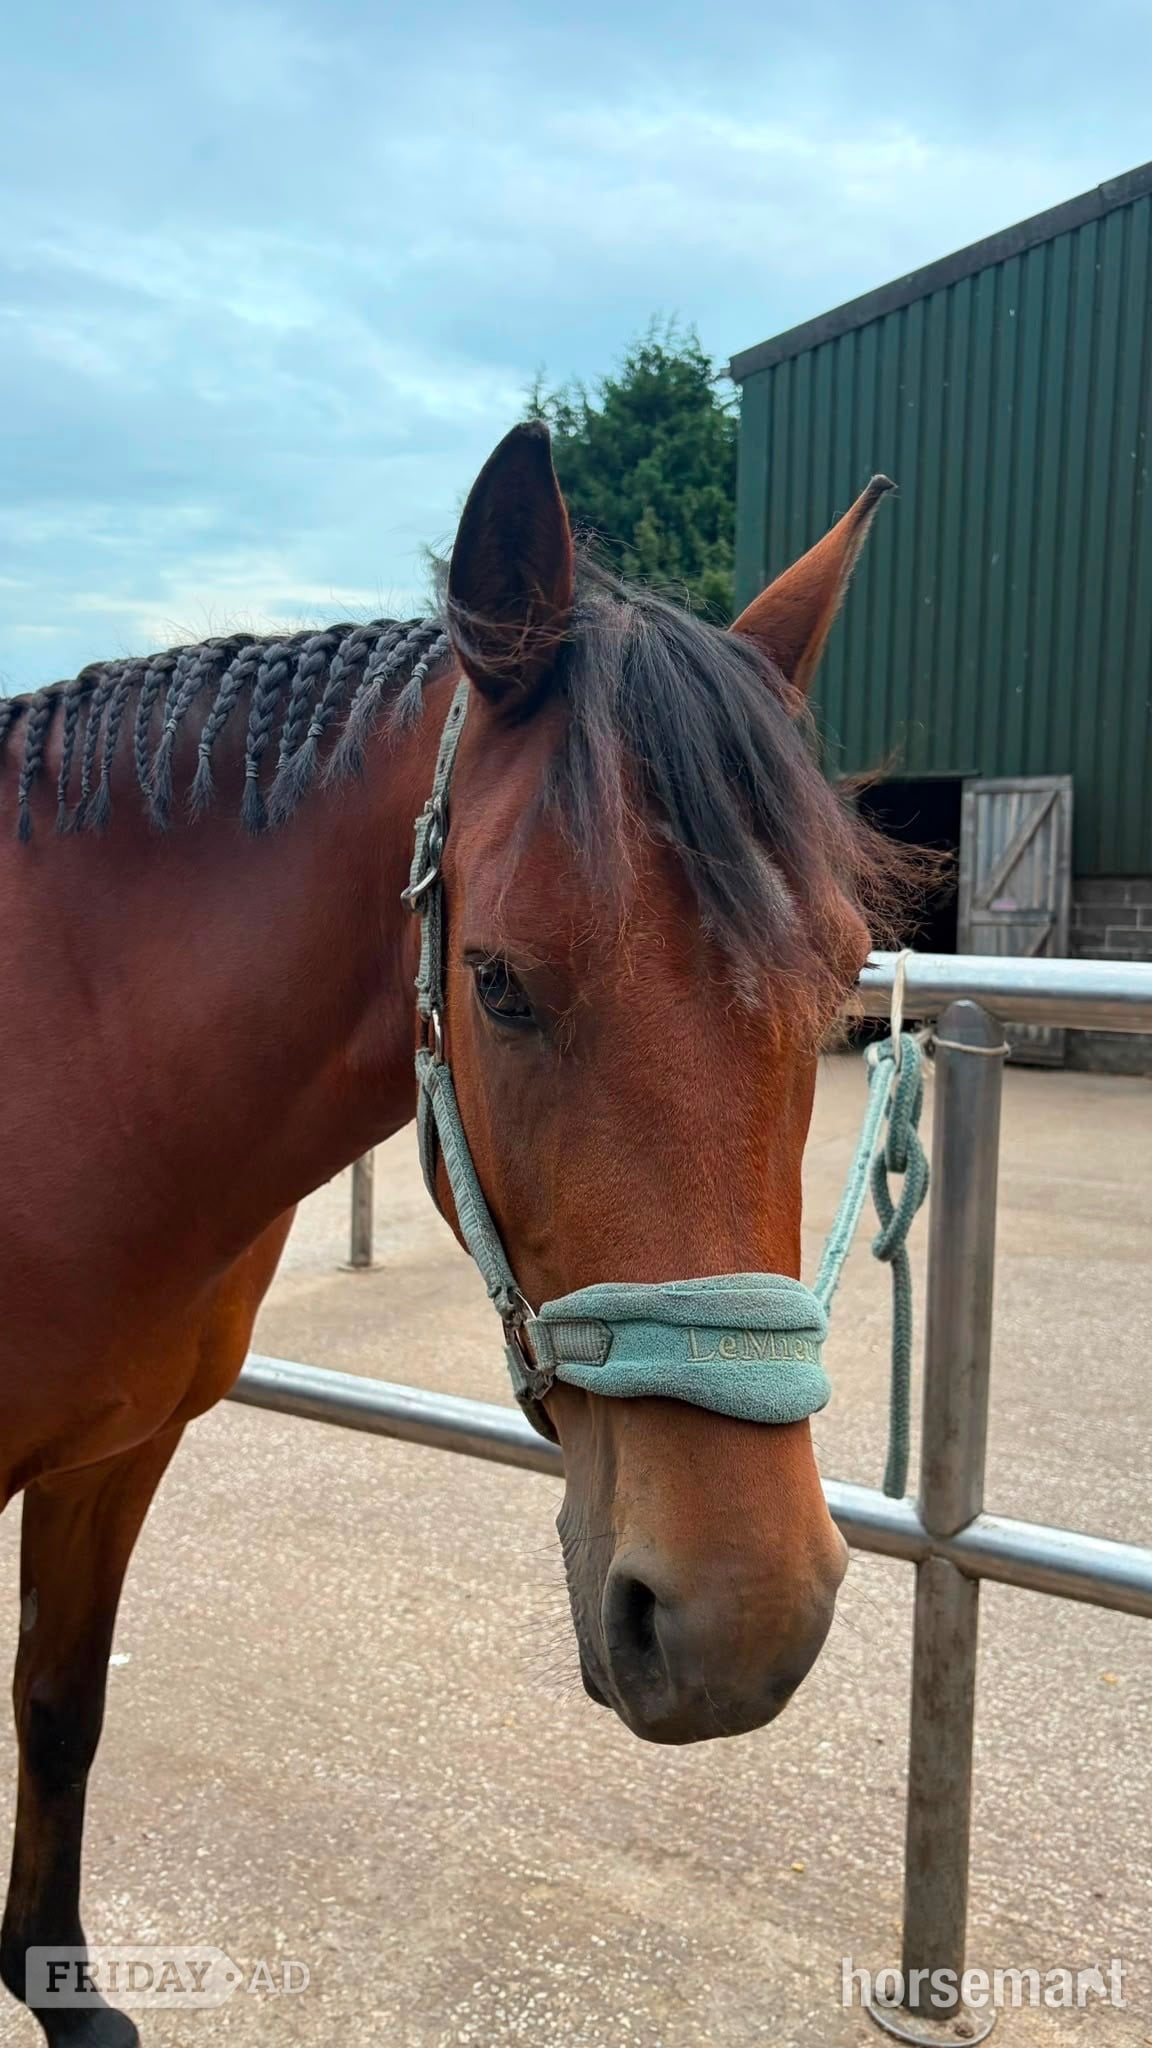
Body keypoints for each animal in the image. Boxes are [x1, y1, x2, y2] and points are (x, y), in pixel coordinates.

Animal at [0, 421, 905, 2046]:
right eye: (497, 982)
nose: (740, 1622)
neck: (66, 1051)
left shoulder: (113, 1453)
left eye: (842, 982)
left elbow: (61, 1701)